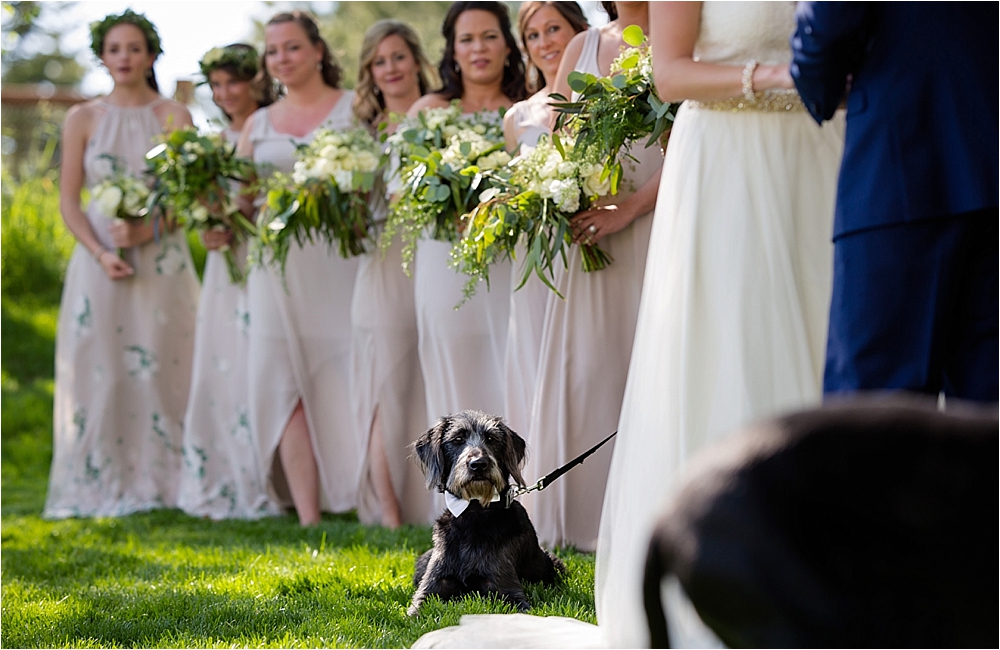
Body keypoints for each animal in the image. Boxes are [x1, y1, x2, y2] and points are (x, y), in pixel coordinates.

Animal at [406, 408, 564, 616]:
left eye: (491, 438)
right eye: (457, 439)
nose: (478, 464)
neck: (474, 513)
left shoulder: (507, 589)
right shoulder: (431, 586)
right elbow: (415, 610)